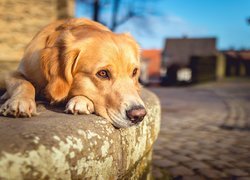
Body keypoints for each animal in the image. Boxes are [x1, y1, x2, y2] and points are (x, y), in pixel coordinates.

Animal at [0, 17, 146, 128]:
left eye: (134, 72)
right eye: (103, 73)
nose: (139, 115)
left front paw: (81, 100)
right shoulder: (14, 73)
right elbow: (24, 83)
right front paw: (20, 101)